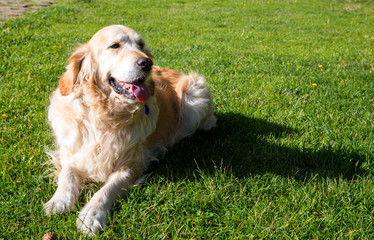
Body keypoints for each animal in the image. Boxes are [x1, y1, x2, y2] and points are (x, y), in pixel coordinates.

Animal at [44, 24, 216, 236]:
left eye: (141, 45)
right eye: (115, 45)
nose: (147, 63)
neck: (105, 114)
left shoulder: (134, 162)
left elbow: (108, 188)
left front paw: (91, 214)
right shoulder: (72, 149)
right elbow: (67, 173)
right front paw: (59, 200)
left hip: (195, 93)